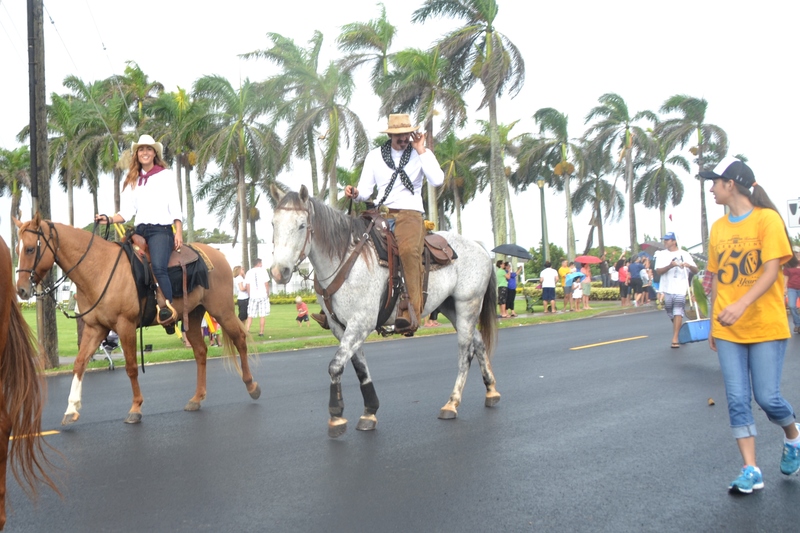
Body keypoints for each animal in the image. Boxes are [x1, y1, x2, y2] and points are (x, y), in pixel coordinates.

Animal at [14, 214, 261, 426]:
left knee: (240, 340)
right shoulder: (96, 328)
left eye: (30, 249)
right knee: (200, 352)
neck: (98, 268)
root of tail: (218, 256)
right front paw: (71, 409)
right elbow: (79, 363)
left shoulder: (125, 325)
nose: (22, 290)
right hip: (193, 315)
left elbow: (131, 367)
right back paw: (197, 398)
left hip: (222, 310)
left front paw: (135, 408)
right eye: (17, 249)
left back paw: (251, 385)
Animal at [270, 185, 500, 438]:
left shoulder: (361, 322)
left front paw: (336, 416)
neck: (344, 260)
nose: (279, 272)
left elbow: (335, 365)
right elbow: (359, 367)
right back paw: (491, 390)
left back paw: (452, 403)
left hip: (468, 303)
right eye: (273, 224)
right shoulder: (341, 327)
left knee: (465, 352)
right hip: (452, 307)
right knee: (478, 342)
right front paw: (369, 411)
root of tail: (478, 246)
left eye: (302, 225)